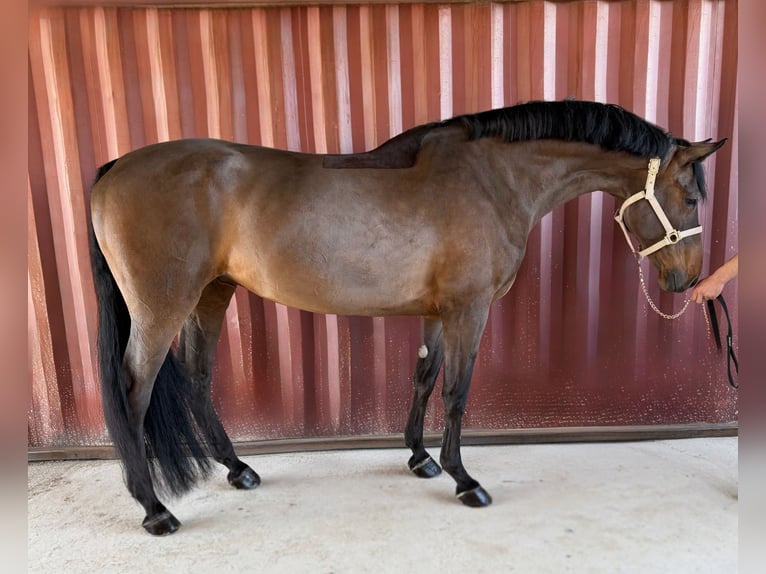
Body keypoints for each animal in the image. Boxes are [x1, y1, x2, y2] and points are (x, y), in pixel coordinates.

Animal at [88, 99, 725, 535]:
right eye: (692, 197)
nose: (688, 280)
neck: (493, 179)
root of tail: (114, 167)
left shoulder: (438, 313)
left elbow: (423, 376)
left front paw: (421, 459)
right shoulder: (469, 310)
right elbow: (458, 391)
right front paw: (465, 479)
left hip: (211, 295)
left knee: (198, 379)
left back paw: (237, 468)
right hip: (163, 306)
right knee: (134, 392)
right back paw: (154, 509)